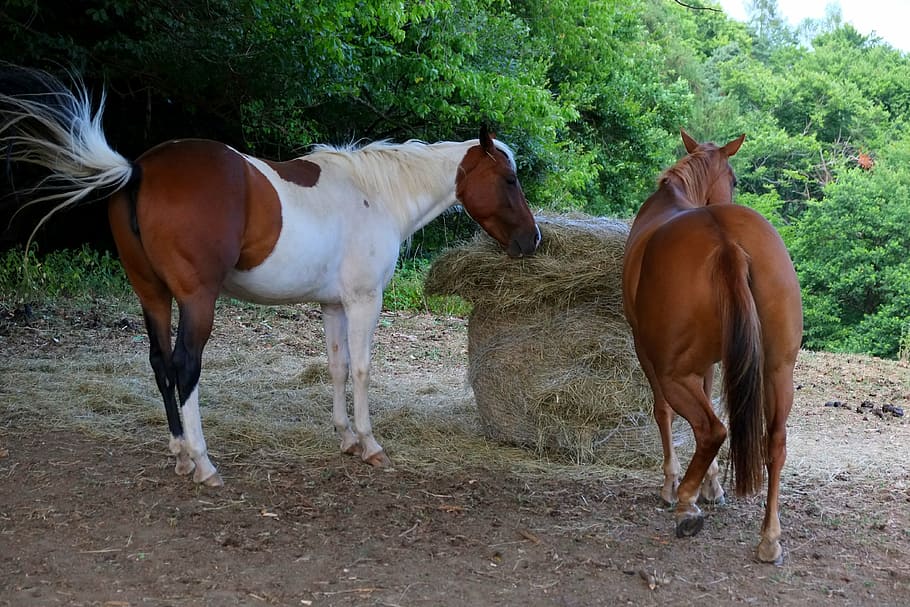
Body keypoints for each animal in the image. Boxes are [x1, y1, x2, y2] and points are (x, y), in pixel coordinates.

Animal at [0, 70, 540, 490]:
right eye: (510, 180)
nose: (532, 240)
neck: (375, 195)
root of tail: (137, 169)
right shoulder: (364, 301)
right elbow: (363, 370)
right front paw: (370, 444)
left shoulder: (333, 305)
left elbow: (337, 368)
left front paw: (346, 438)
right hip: (197, 302)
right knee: (184, 366)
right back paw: (203, 462)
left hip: (152, 296)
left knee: (159, 364)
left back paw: (179, 454)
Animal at [620, 129, 804, 564]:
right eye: (734, 179)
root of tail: (726, 242)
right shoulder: (713, 362)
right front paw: (713, 483)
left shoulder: (645, 350)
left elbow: (663, 413)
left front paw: (675, 486)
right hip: (778, 369)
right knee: (774, 442)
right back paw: (769, 537)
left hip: (672, 372)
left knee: (710, 428)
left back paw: (686, 503)